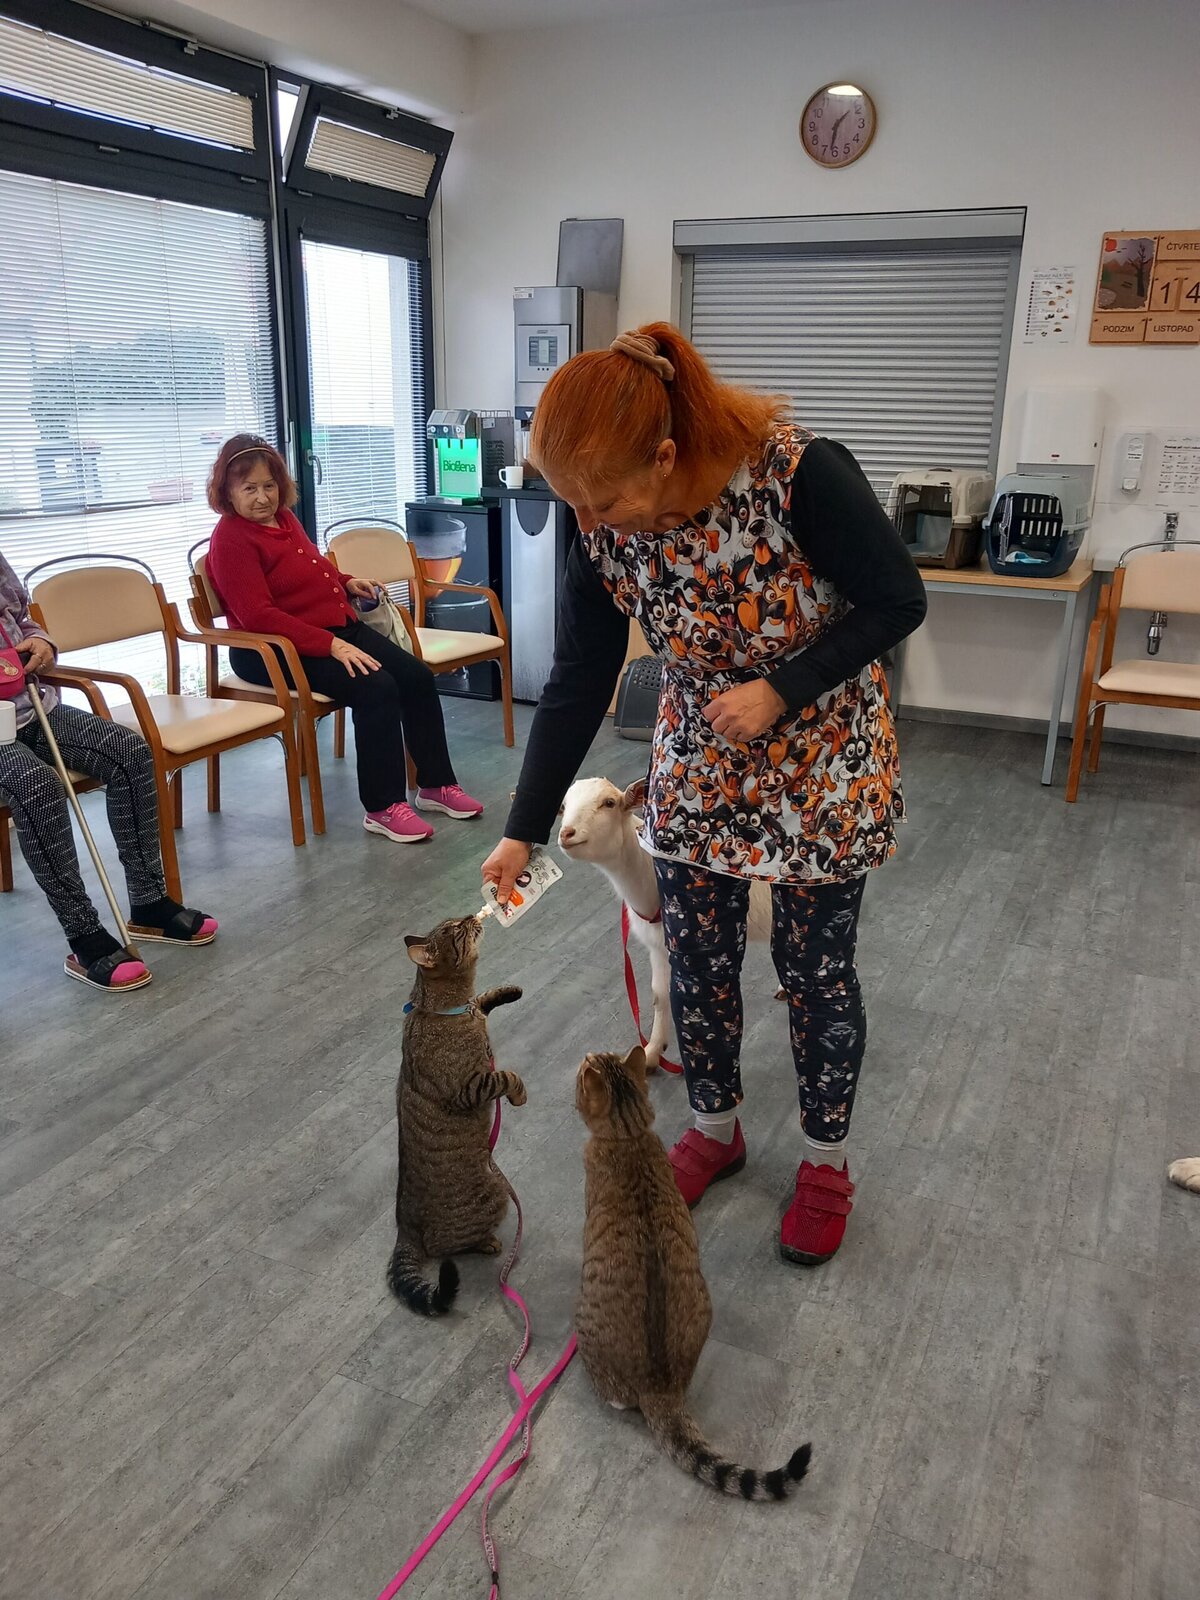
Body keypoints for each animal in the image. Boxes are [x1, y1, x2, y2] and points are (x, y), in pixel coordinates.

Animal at [387, 913, 526, 1316]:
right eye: (455, 930)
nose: (469, 915)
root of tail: (404, 1229)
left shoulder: (476, 1006)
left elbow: (485, 998)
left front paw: (510, 991)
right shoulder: (470, 1086)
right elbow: (506, 1076)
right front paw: (519, 1093)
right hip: (495, 1195)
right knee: (446, 1247)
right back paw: (488, 1242)